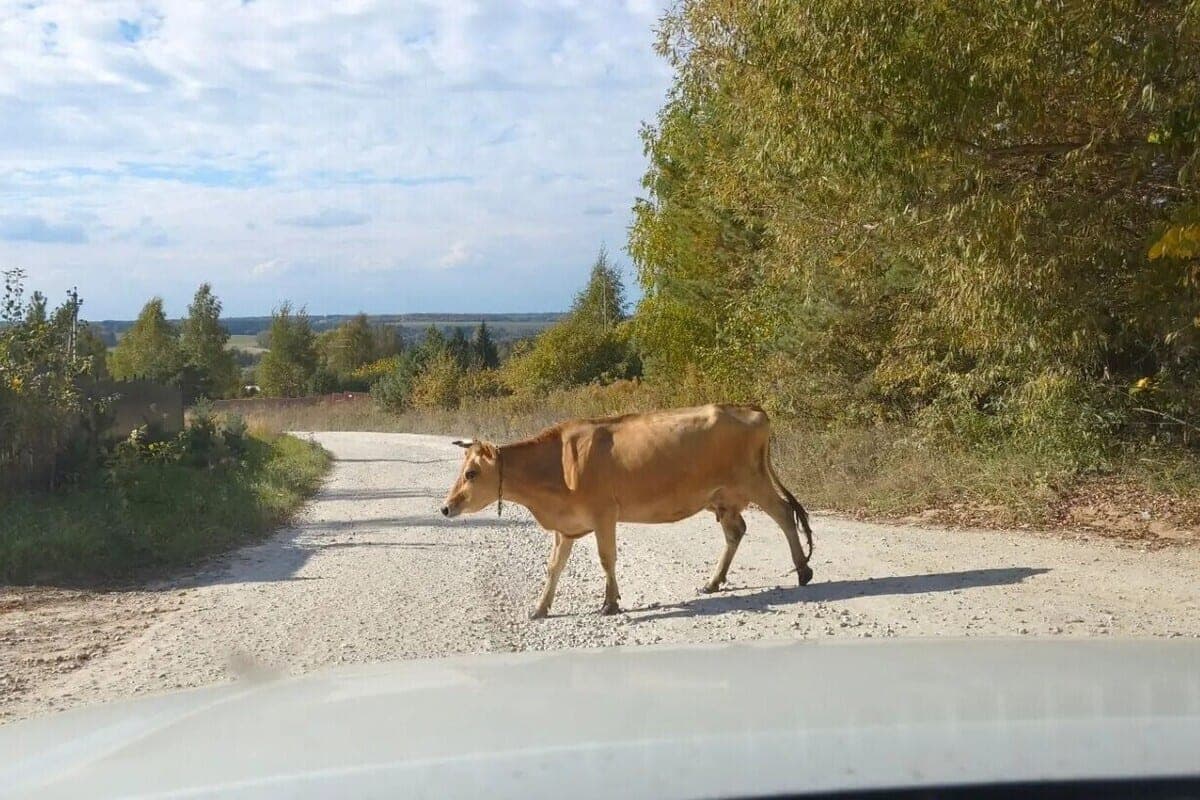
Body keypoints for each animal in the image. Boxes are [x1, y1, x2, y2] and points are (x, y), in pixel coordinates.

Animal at [440, 404, 813, 619]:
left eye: (470, 473)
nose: (445, 507)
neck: (556, 467)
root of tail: (752, 409)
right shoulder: (567, 524)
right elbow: (554, 567)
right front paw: (540, 608)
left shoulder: (604, 514)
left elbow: (607, 558)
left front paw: (610, 603)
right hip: (722, 497)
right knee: (736, 532)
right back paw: (713, 582)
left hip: (753, 481)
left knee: (784, 514)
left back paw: (803, 571)